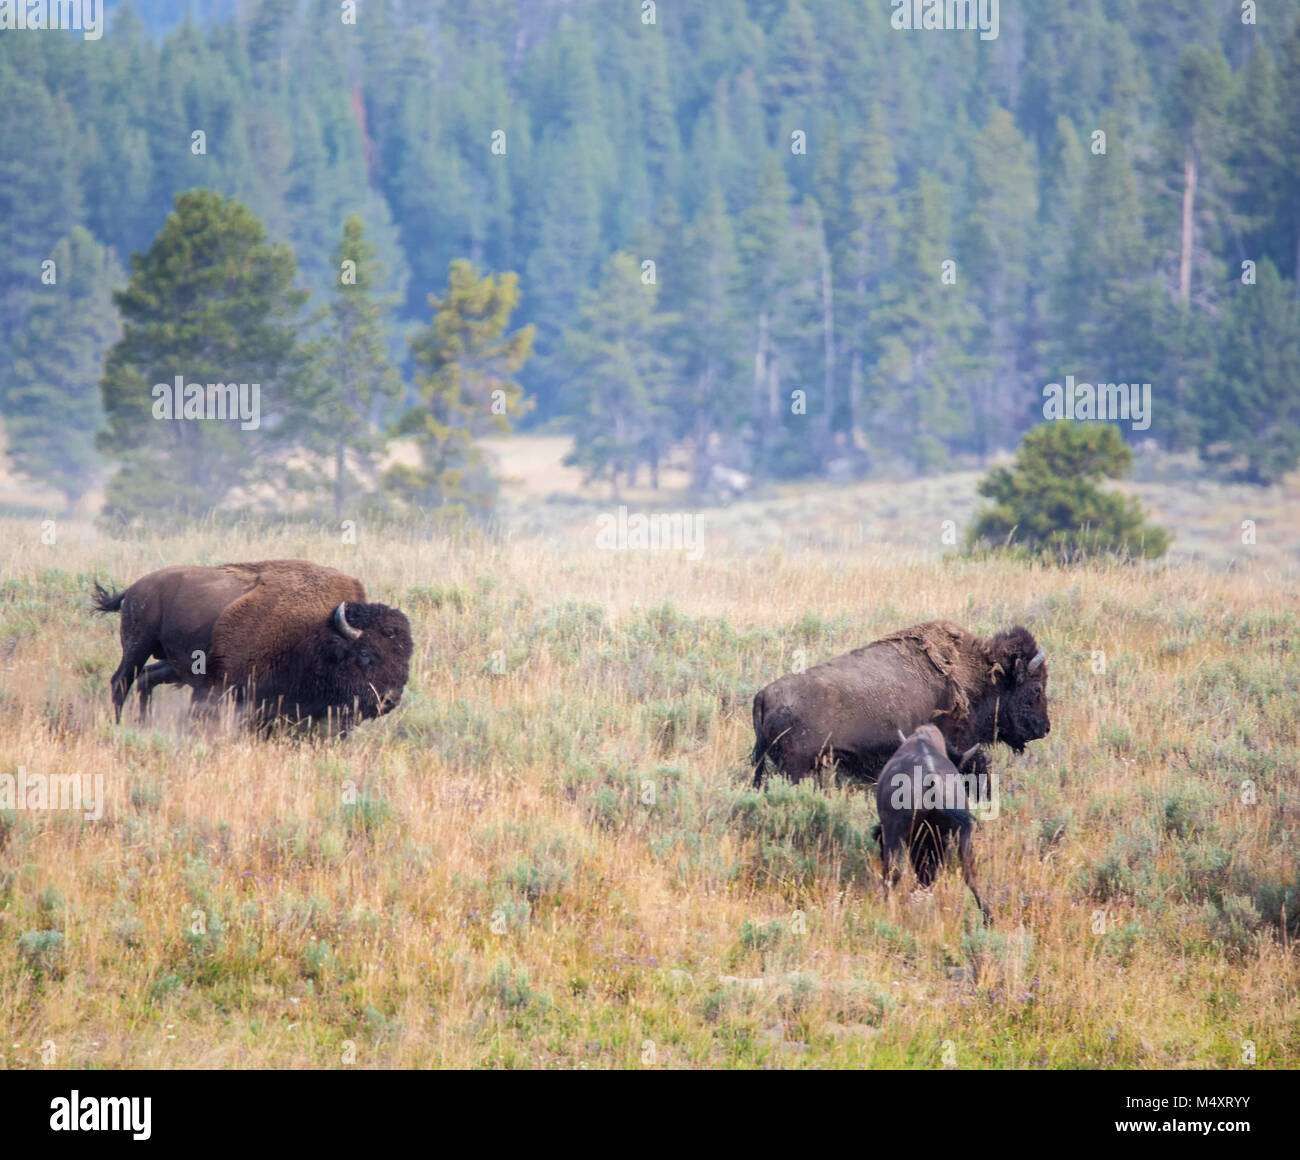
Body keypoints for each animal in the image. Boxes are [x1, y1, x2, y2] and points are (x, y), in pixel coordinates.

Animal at [91, 559, 410, 728]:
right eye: (366, 654)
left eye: (405, 657)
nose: (390, 699)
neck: (319, 632)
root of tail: (134, 588)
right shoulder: (225, 686)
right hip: (137, 645)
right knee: (121, 681)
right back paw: (119, 727)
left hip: (171, 663)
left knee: (146, 680)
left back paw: (144, 725)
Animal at [878, 723, 987, 925]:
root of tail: (931, 779)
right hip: (961, 834)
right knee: (970, 873)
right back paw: (987, 917)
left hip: (895, 835)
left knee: (893, 871)